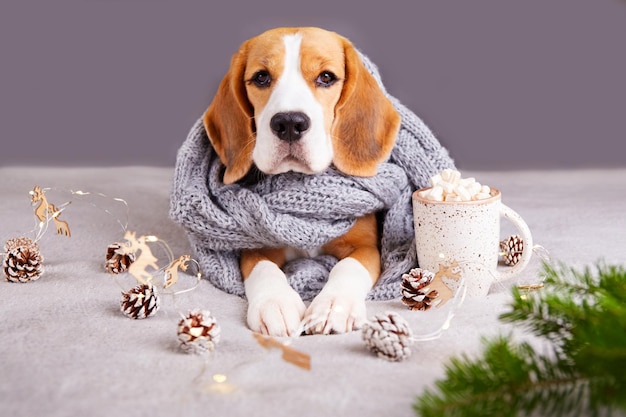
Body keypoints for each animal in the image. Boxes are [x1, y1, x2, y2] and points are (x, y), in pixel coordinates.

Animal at [205, 26, 400, 334]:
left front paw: (334, 305)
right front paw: (274, 303)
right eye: (261, 77)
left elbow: (348, 267)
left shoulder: (367, 247)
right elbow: (264, 270)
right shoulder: (257, 247)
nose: (289, 123)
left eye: (326, 77)